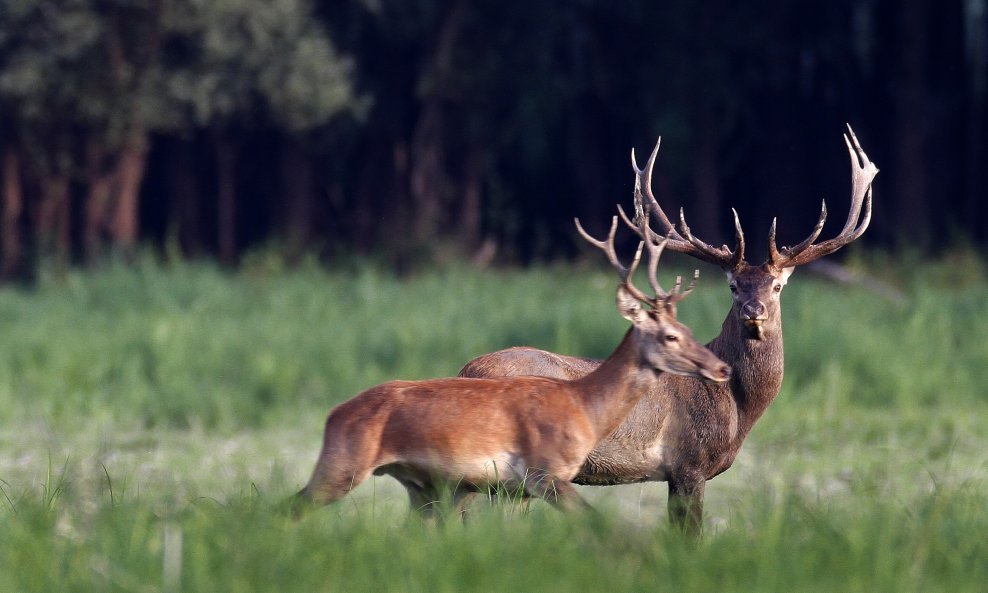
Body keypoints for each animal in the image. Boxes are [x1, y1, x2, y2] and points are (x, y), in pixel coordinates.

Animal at [290, 214, 728, 520]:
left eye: (689, 329)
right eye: (670, 336)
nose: (721, 368)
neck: (583, 404)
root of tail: (333, 414)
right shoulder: (543, 473)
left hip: (419, 483)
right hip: (345, 465)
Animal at [458, 123, 880, 532]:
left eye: (777, 286)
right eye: (733, 286)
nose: (753, 309)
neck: (737, 408)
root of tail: (466, 370)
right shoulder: (688, 464)